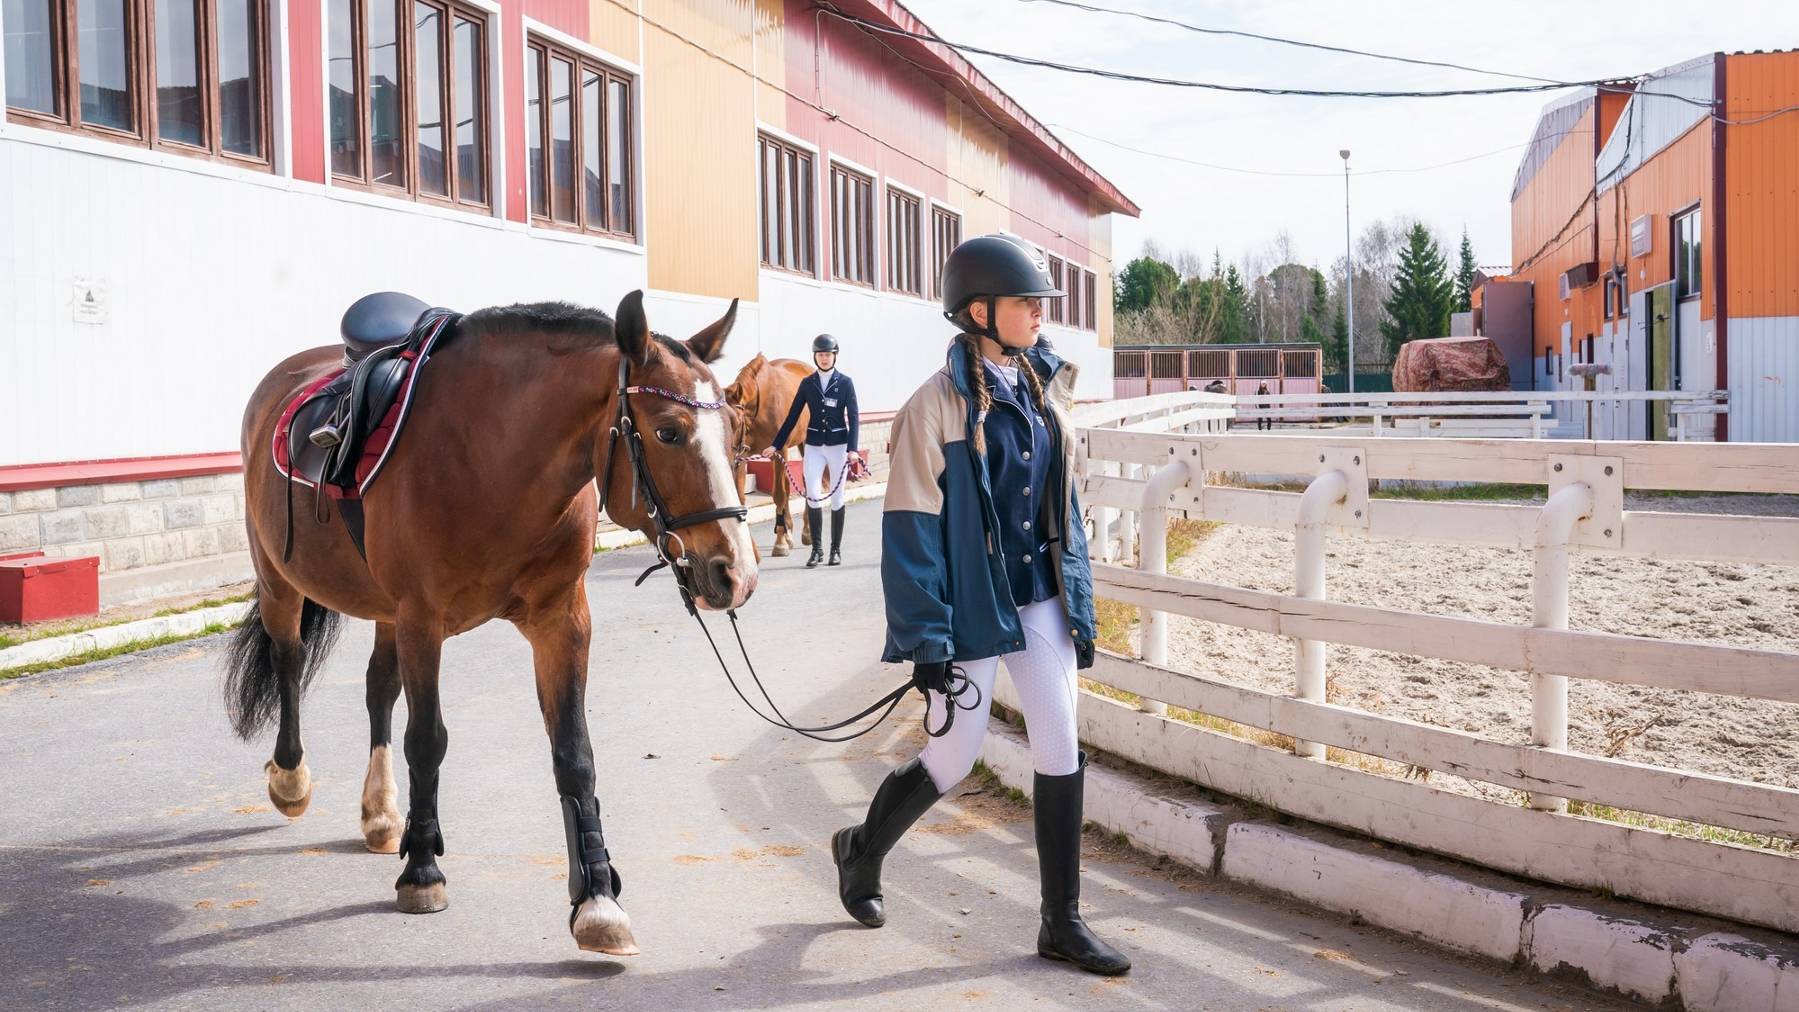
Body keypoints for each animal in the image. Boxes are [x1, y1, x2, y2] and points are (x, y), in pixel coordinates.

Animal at [223, 289, 751, 956]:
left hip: (384, 611)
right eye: (668, 431)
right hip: (280, 579)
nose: (736, 572)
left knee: (377, 687)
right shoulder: (423, 620)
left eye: (735, 429)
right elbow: (427, 740)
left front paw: (597, 898)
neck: (490, 458)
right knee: (289, 660)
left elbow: (574, 752)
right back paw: (291, 780)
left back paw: (380, 814)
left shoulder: (561, 619)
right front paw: (422, 870)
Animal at [723, 354, 823, 560]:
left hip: (804, 444)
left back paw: (806, 532)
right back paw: (789, 531)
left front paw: (780, 542)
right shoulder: (742, 457)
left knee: (804, 481)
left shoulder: (779, 451)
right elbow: (741, 498)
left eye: (735, 421)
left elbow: (779, 495)